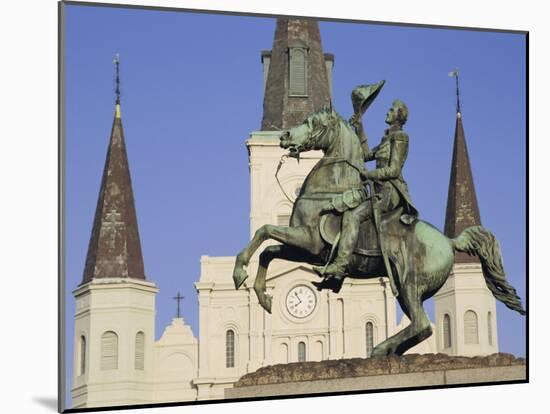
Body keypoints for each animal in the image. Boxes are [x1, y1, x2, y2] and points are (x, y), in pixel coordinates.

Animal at [233, 106, 528, 356]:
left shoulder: (309, 242)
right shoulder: (306, 250)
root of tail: (449, 241)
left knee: (422, 324)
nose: (284, 136)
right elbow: (268, 250)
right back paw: (388, 350)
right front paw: (262, 295)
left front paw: (239, 272)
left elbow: (264, 231)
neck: (327, 190)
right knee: (419, 327)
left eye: (313, 122)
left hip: (409, 284)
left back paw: (378, 348)